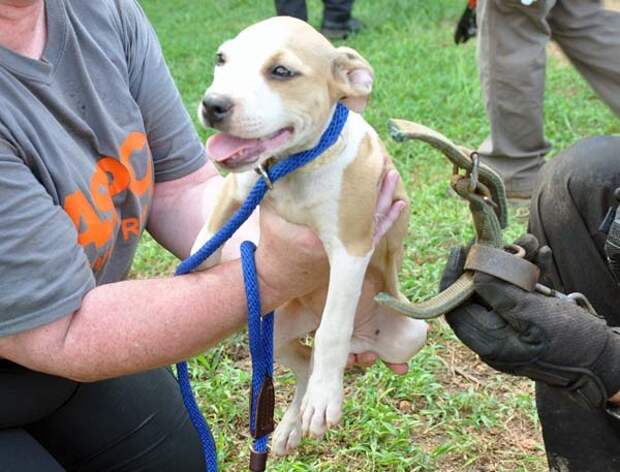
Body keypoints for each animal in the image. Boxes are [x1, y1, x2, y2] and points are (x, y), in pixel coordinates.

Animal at [191, 16, 428, 456]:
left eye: (282, 72)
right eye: (221, 59)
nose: (213, 105)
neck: (293, 167)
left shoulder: (351, 249)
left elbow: (335, 326)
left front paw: (325, 400)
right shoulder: (237, 187)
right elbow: (207, 234)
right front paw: (192, 270)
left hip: (410, 331)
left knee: (327, 343)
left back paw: (320, 389)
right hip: (274, 329)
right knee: (303, 363)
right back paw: (288, 426)